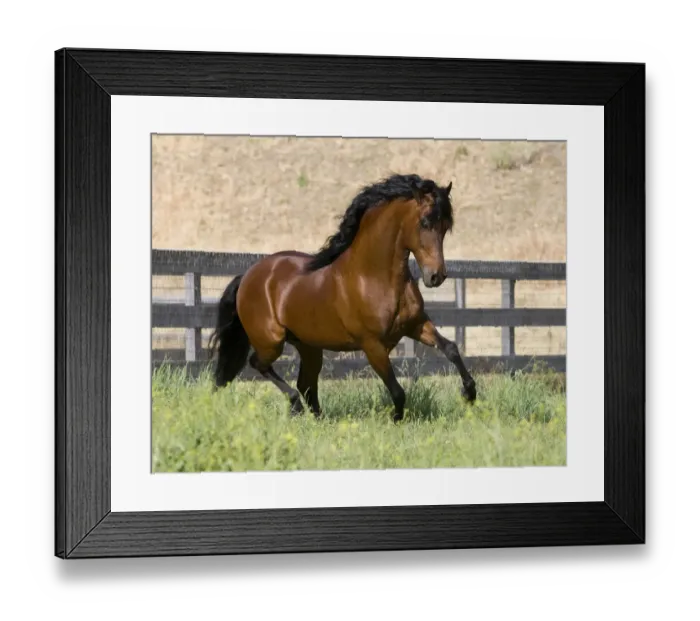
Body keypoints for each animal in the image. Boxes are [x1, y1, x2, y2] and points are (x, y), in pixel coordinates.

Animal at [208, 173, 477, 423]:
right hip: (271, 342)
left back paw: (318, 419)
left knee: (306, 384)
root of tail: (248, 276)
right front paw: (396, 420)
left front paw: (470, 393)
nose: (436, 276)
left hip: (309, 346)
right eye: (425, 222)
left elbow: (451, 348)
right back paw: (296, 406)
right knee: (260, 365)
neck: (373, 276)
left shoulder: (416, 326)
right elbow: (398, 391)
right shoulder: (372, 345)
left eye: (446, 227)